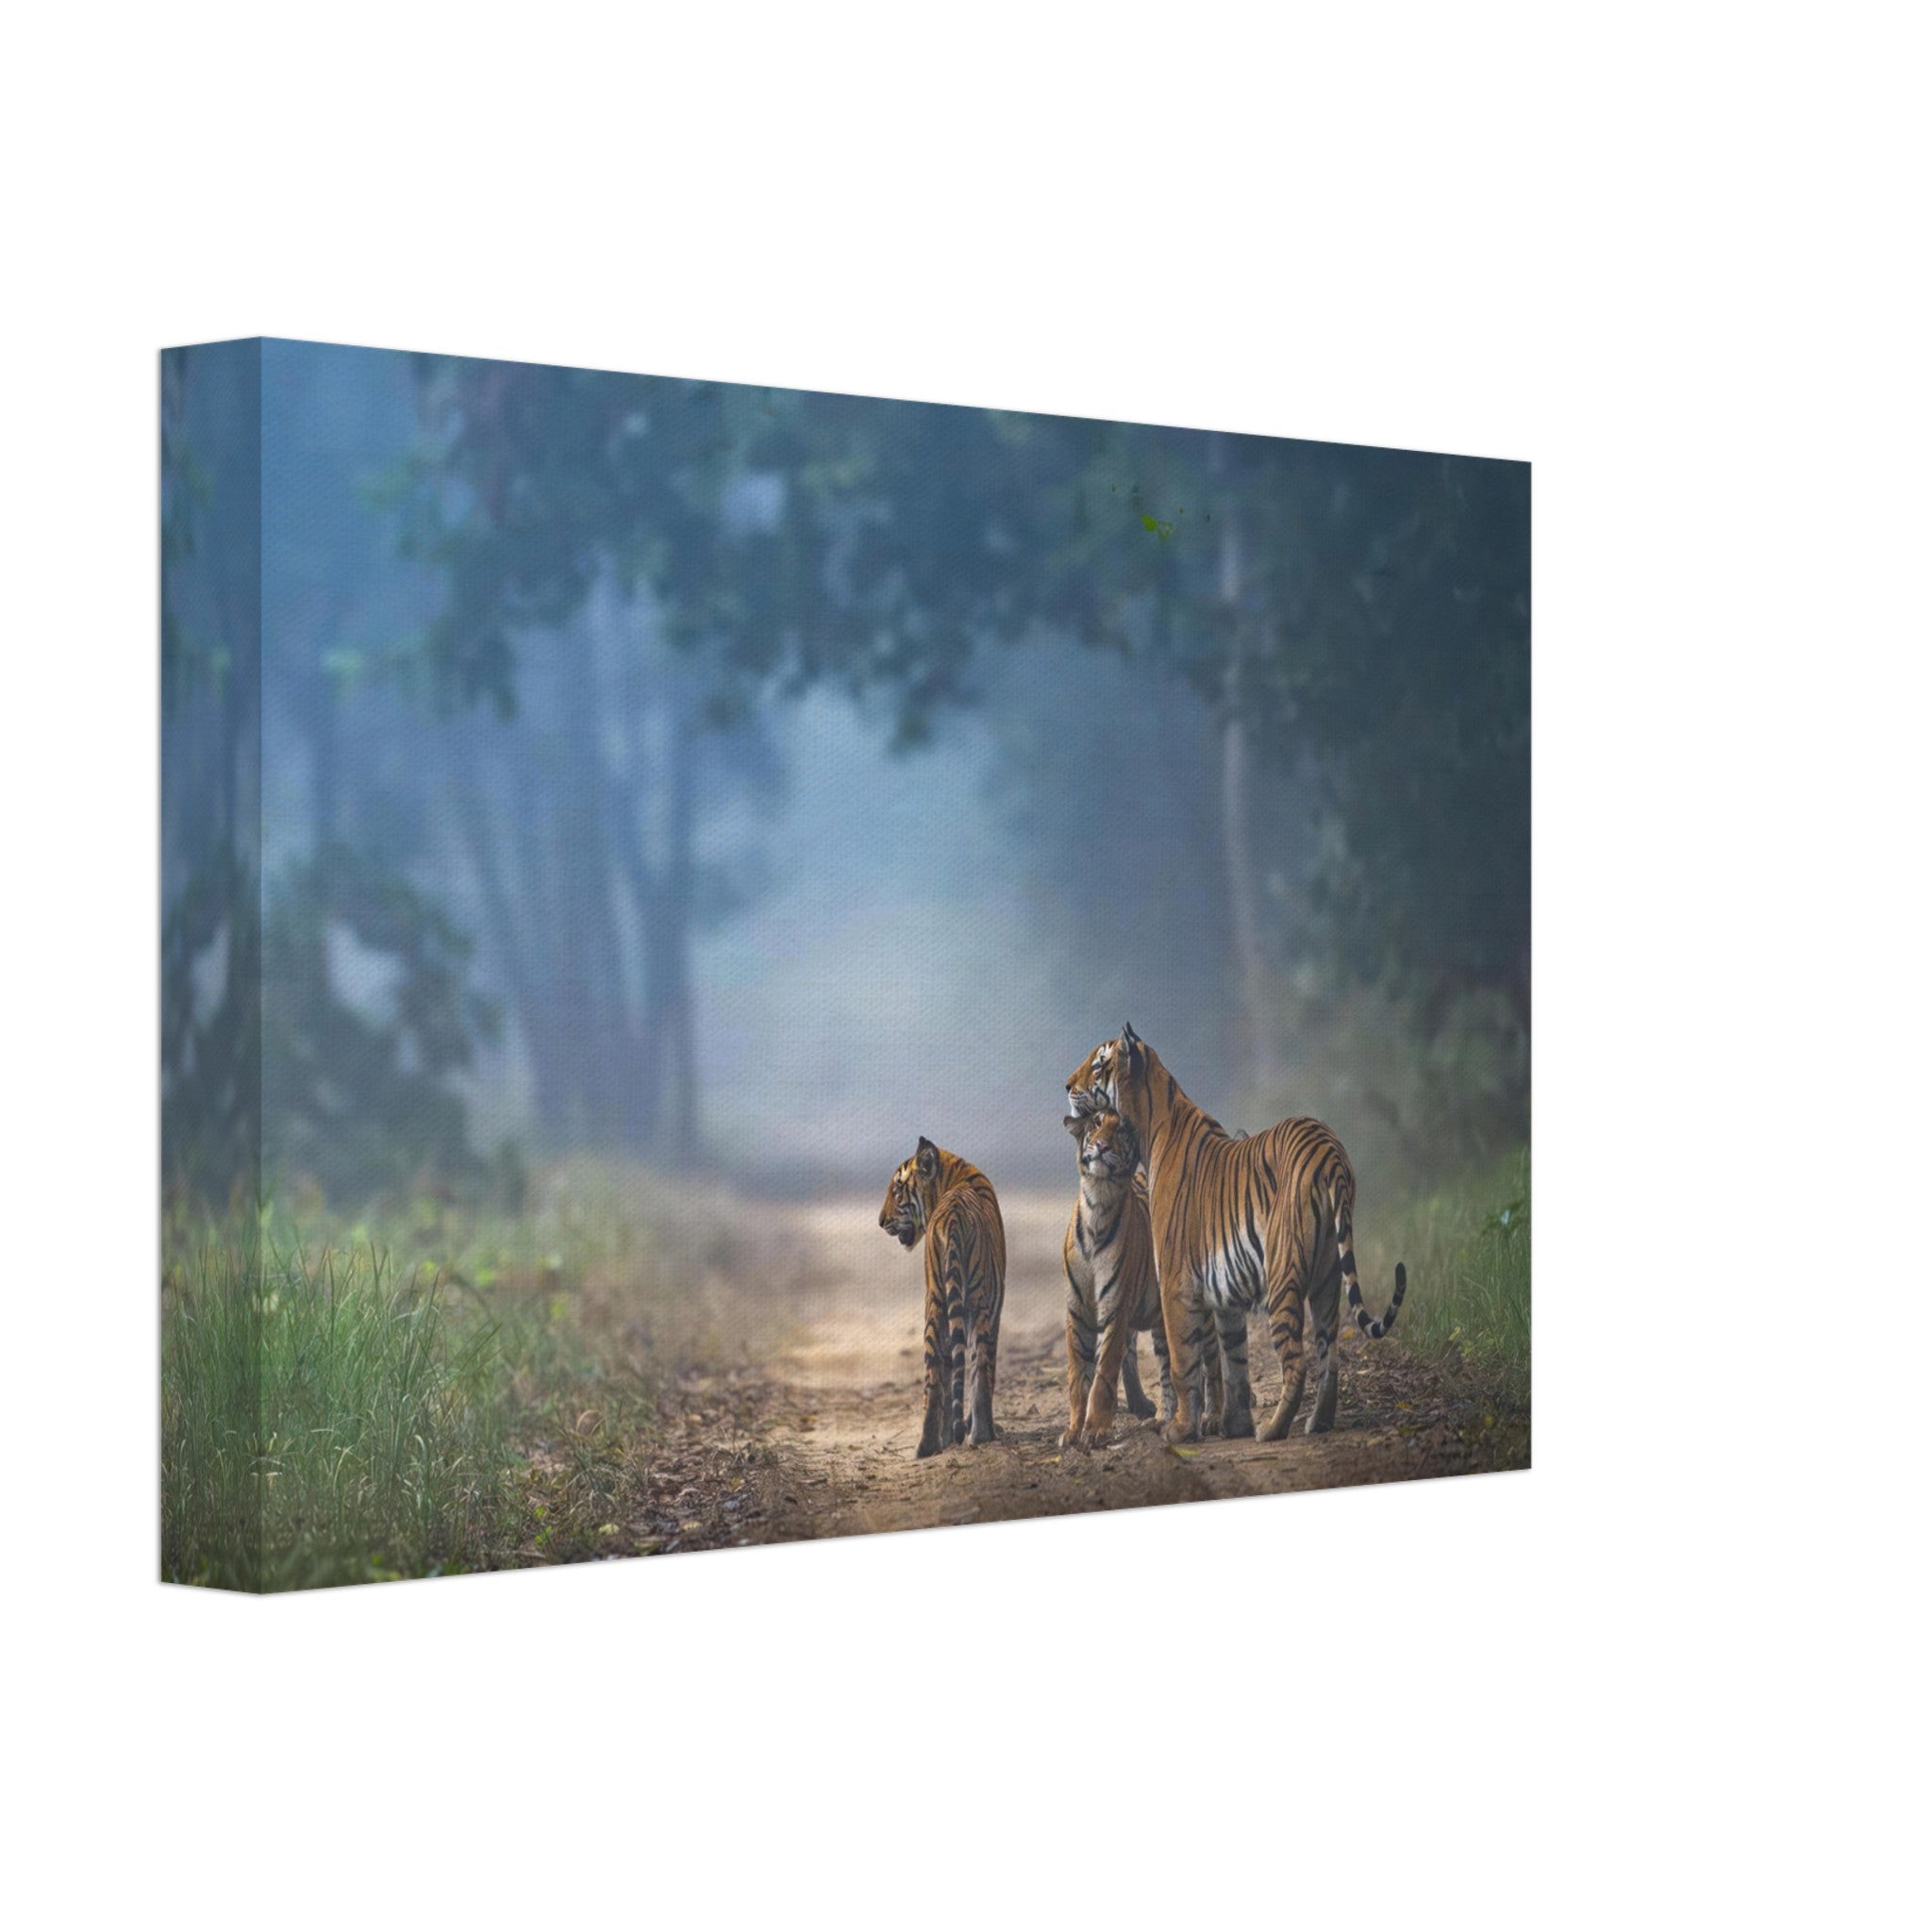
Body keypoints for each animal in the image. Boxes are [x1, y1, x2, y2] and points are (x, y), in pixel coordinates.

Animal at [878, 1136, 1007, 1459]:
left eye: (896, 1191)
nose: (881, 1221)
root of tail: (952, 1216)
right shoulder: (995, 1311)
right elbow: (987, 1370)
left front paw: (949, 1437)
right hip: (977, 1302)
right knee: (978, 1366)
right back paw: (982, 1434)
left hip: (935, 1302)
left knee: (934, 1376)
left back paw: (926, 1446)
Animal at [1060, 1107, 1222, 1447]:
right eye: (1095, 1124)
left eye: (1121, 1130)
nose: (1102, 1145)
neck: (1099, 1201)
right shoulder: (1077, 1312)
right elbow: (1078, 1377)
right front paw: (1072, 1431)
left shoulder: (1116, 1310)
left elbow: (1104, 1373)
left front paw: (1095, 1431)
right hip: (1161, 1321)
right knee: (1166, 1367)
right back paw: (1163, 1417)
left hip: (1199, 1311)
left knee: (1213, 1360)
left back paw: (1213, 1417)